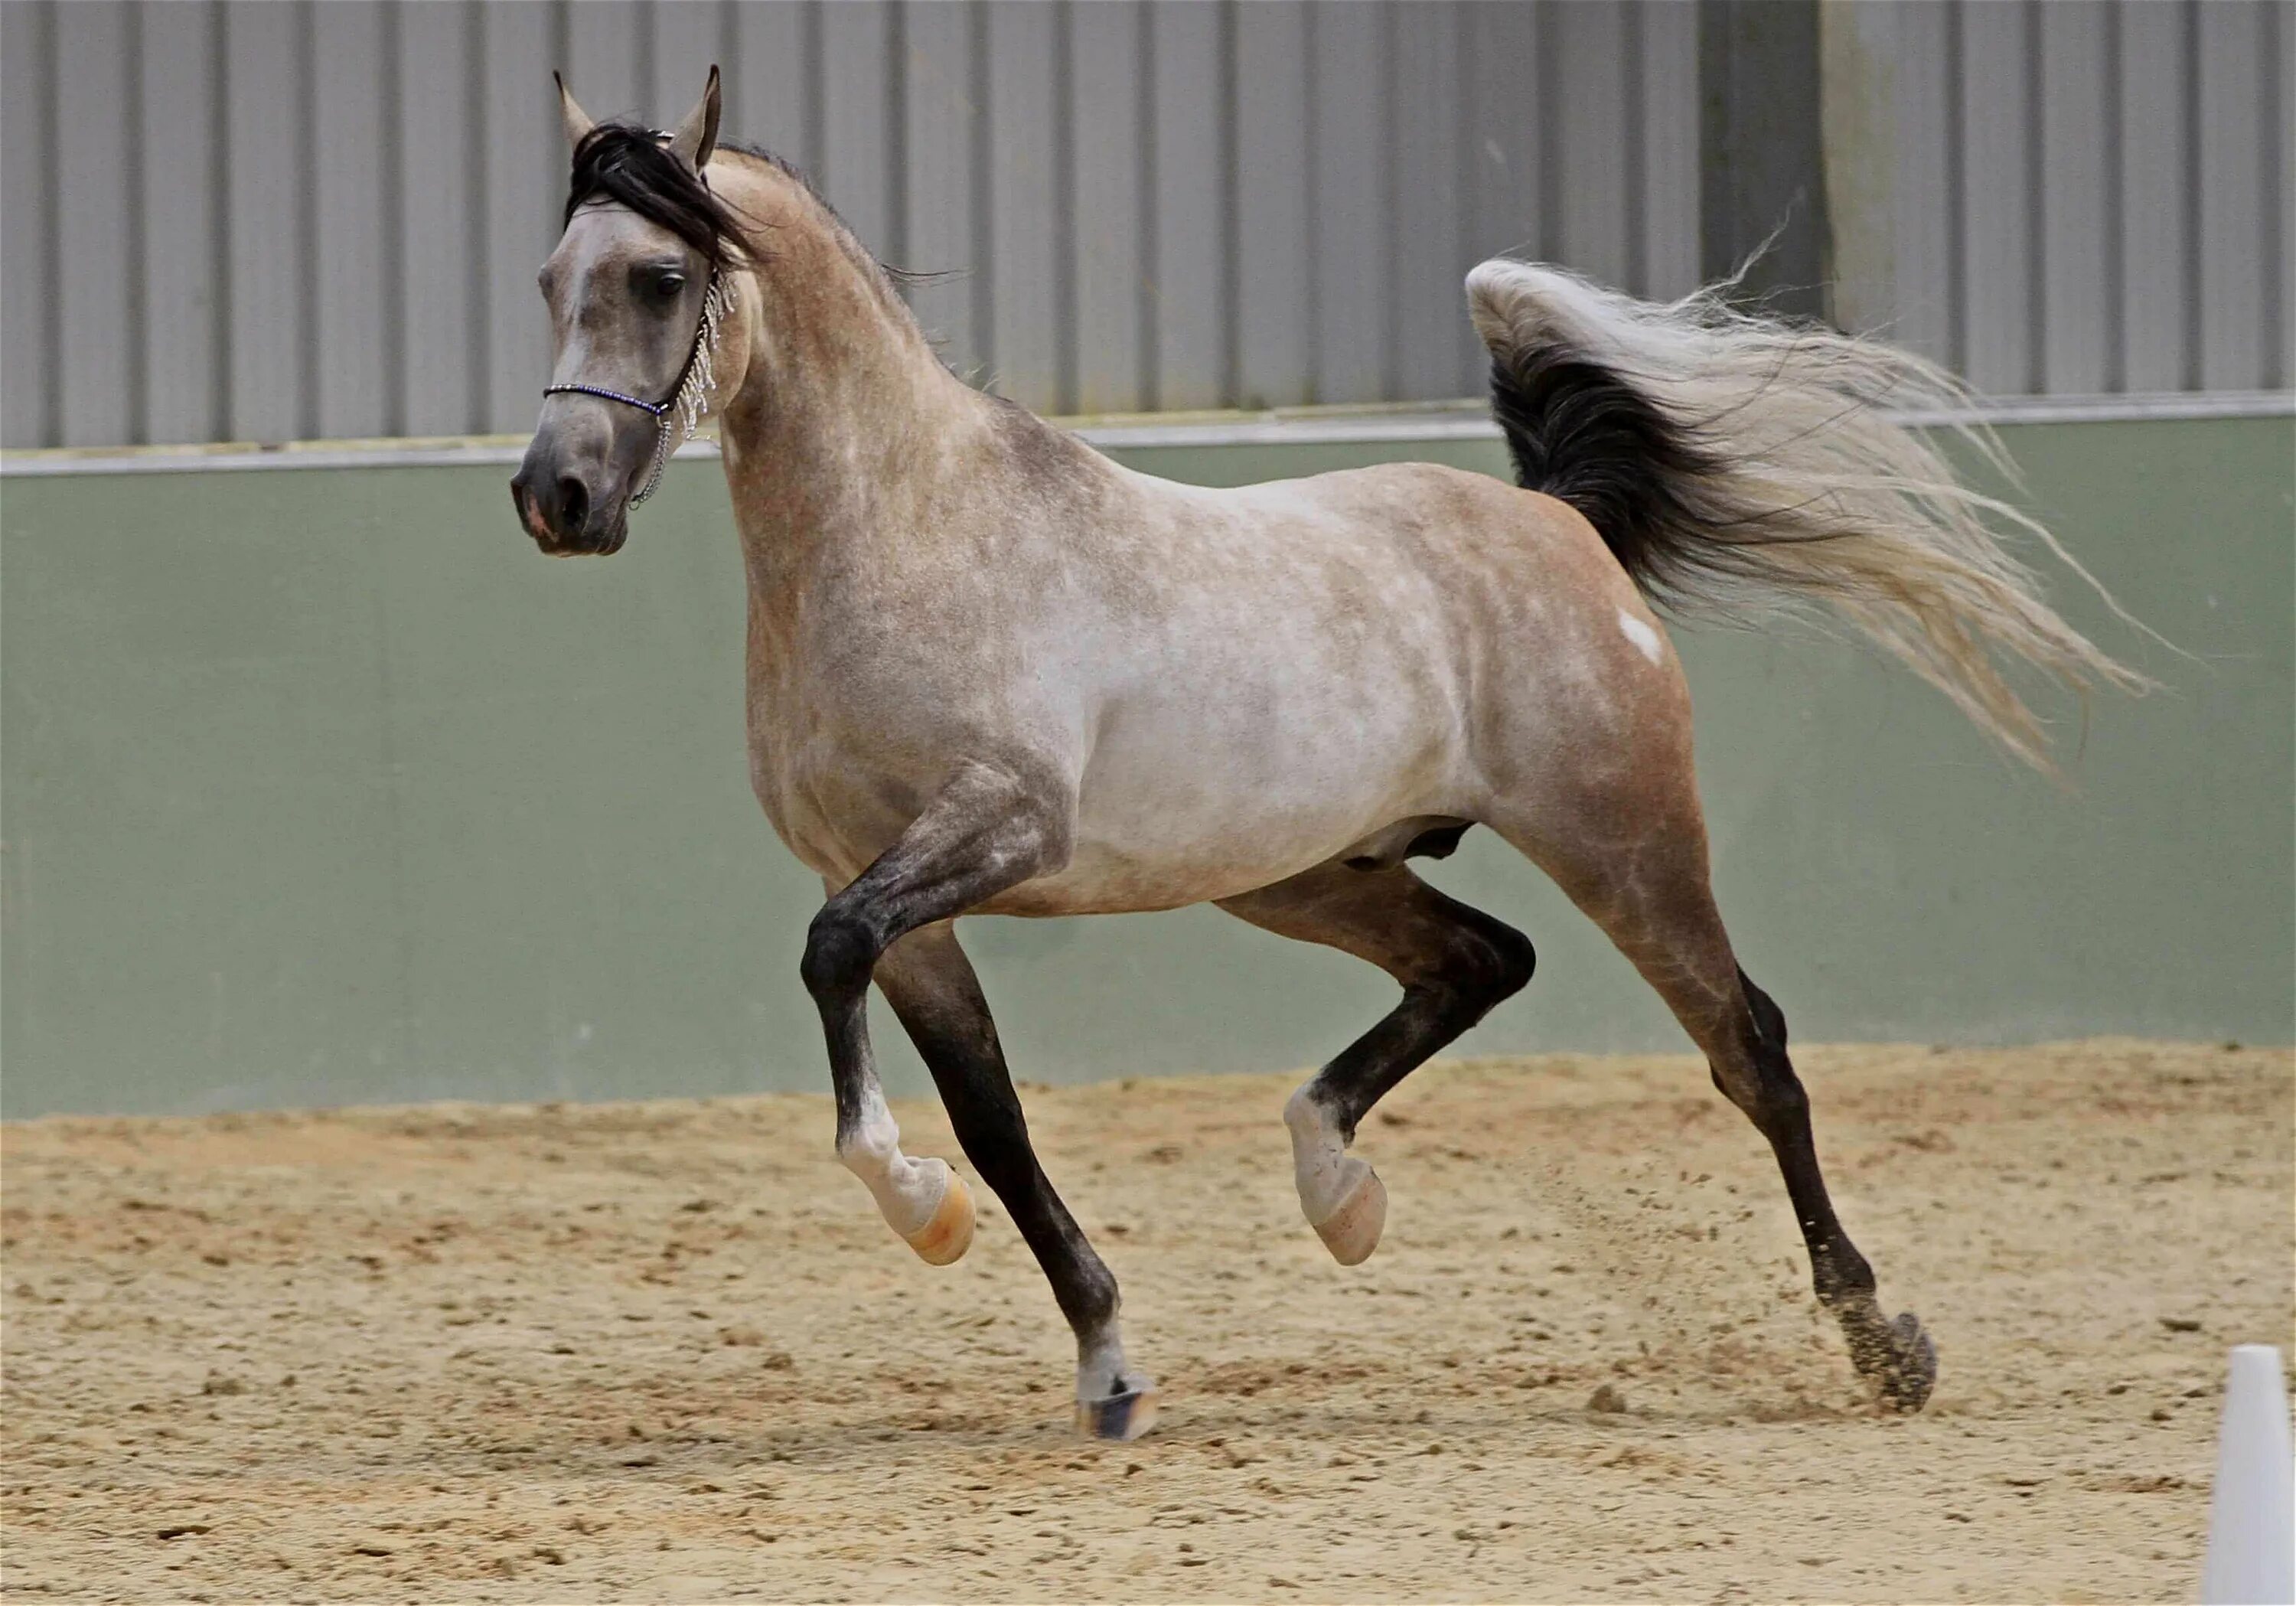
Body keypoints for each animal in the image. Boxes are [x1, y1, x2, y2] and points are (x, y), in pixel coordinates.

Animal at [512, 72, 2140, 1442]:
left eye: (661, 279)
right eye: (548, 282)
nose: (557, 497)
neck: (909, 532)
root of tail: (1552, 516)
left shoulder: (996, 829)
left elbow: (842, 968)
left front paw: (920, 1208)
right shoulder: (895, 888)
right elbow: (988, 1110)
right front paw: (1104, 1364)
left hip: (1626, 842)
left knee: (1752, 1049)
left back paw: (1881, 1346)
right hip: (1307, 875)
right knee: (1482, 961)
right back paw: (1338, 1187)